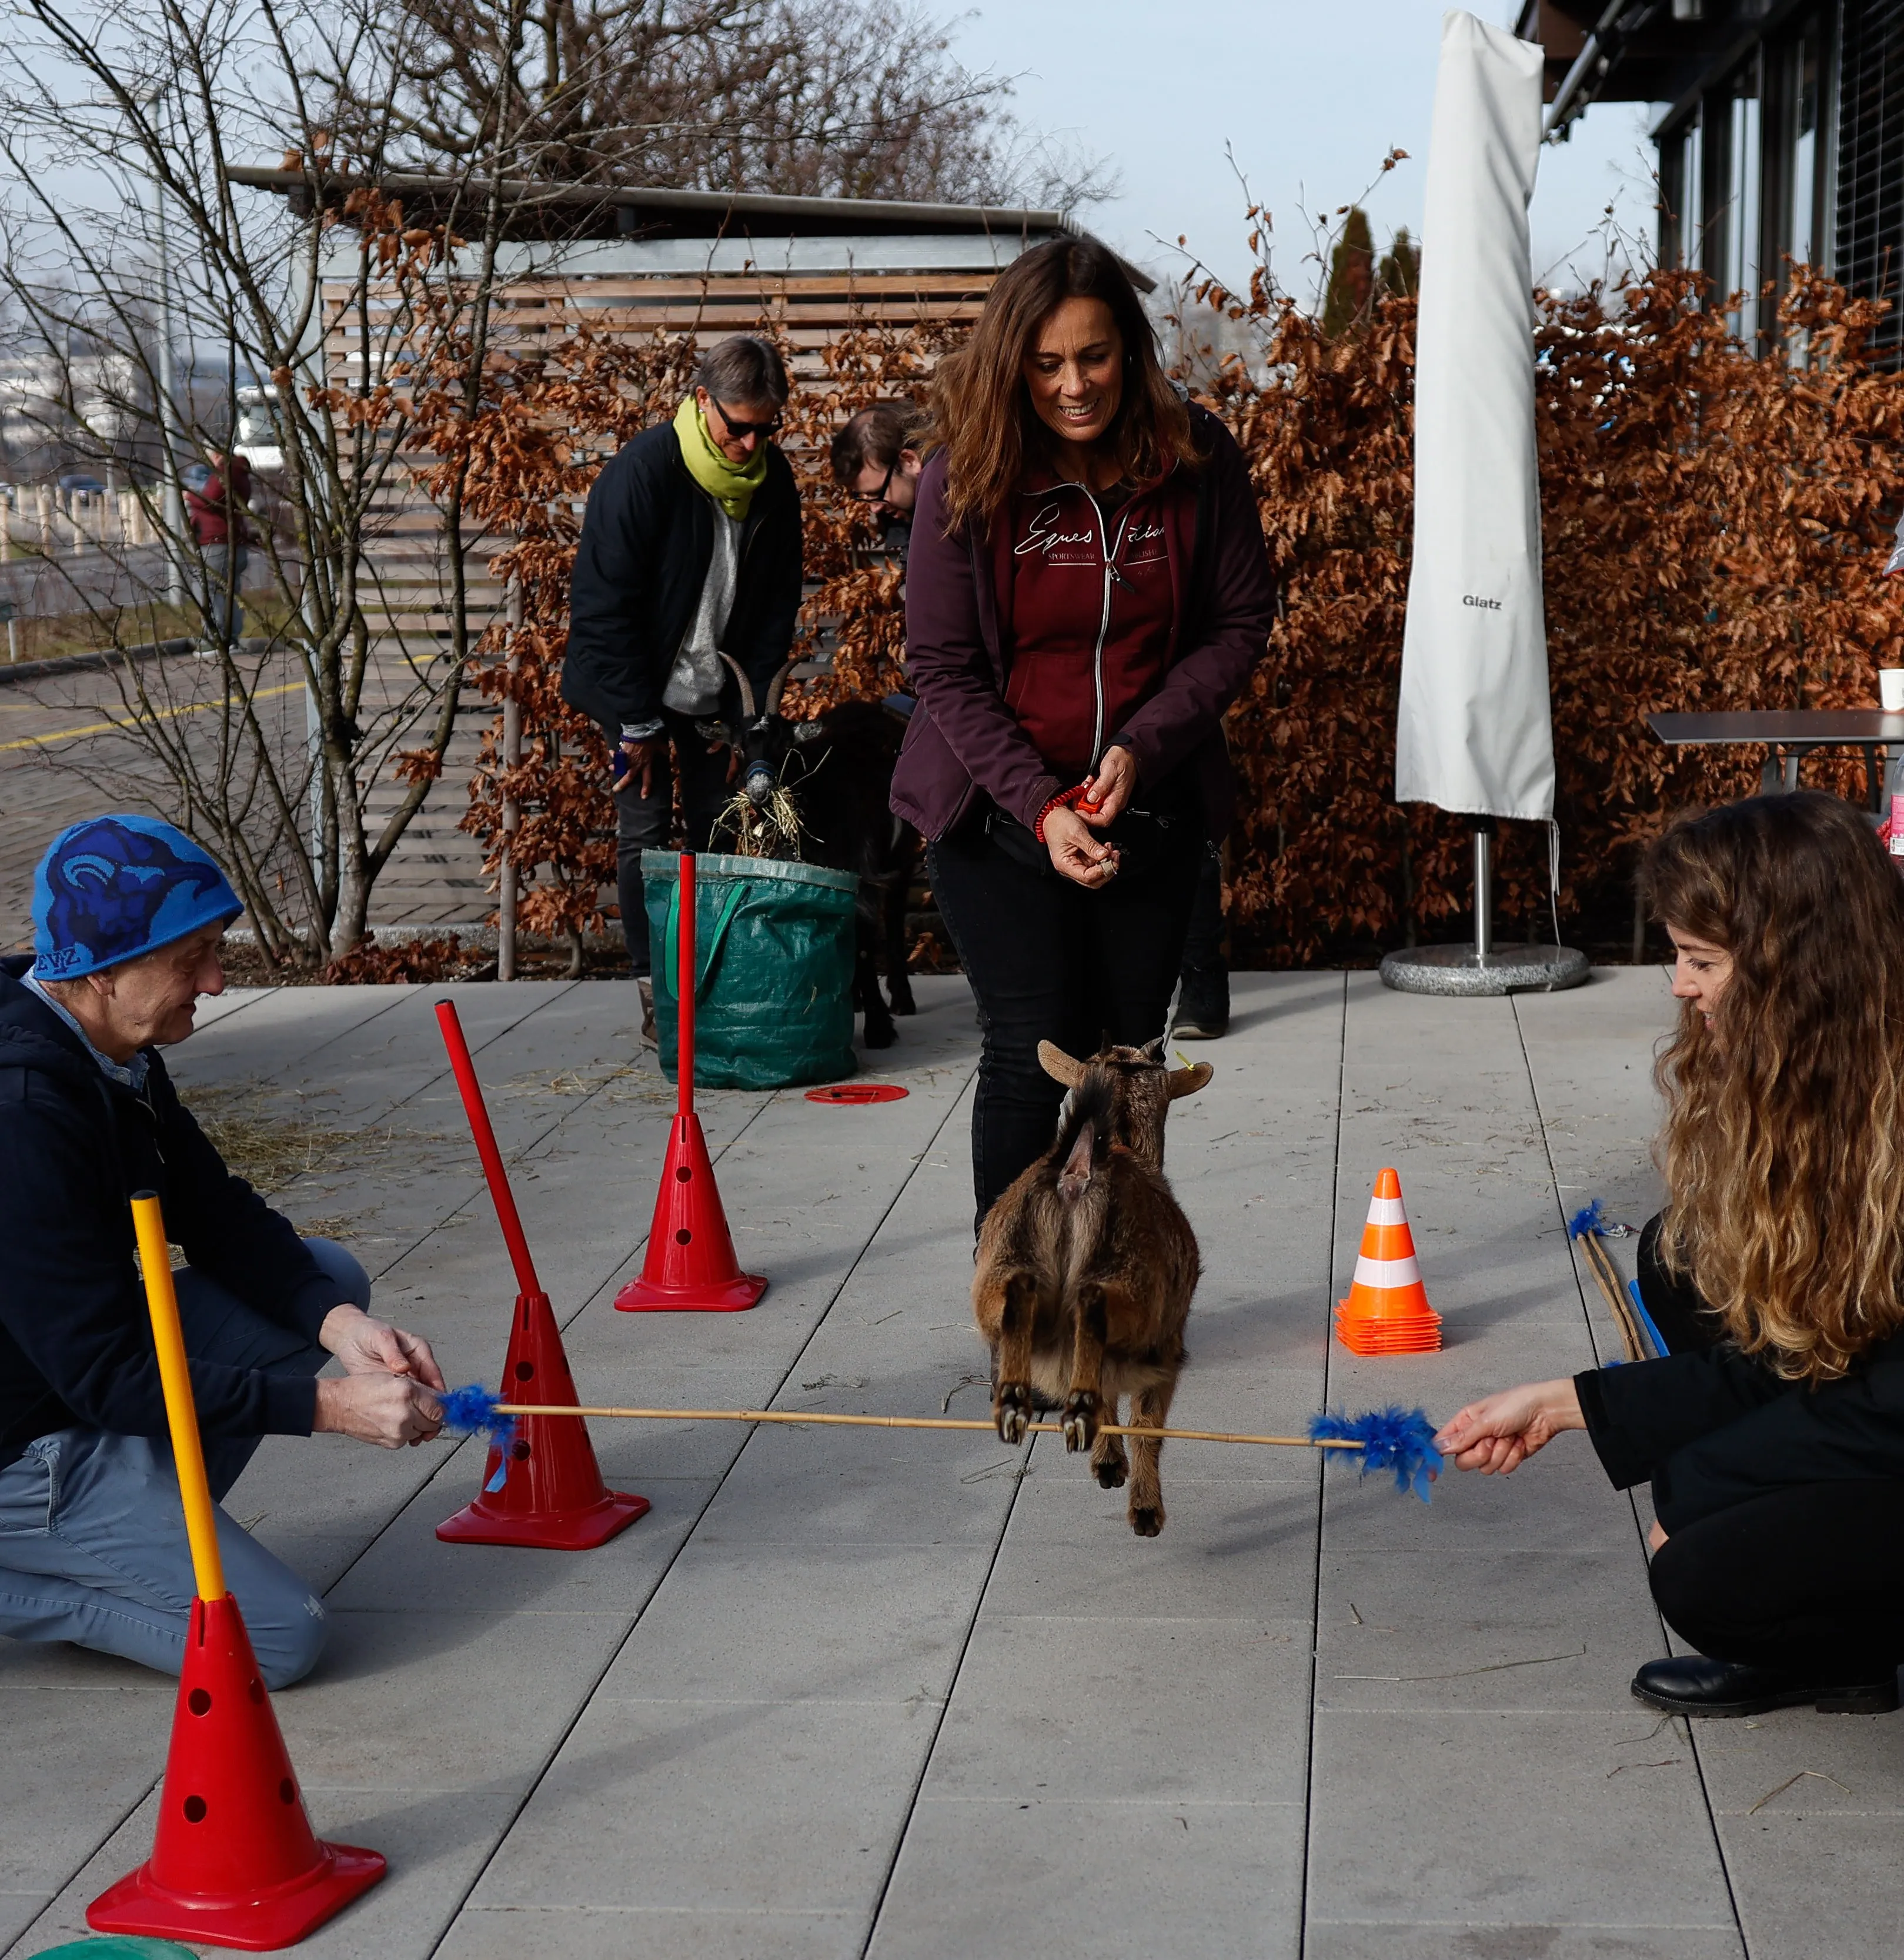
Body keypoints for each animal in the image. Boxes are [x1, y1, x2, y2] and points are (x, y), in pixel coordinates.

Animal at [976, 1034, 1215, 1537]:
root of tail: (1077, 1175)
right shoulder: (1166, 1340)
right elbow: (1147, 1421)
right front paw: (1136, 1498)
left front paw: (1106, 1462)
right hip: (1131, 1292)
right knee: (1093, 1319)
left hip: (1000, 1265)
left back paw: (1014, 1401)